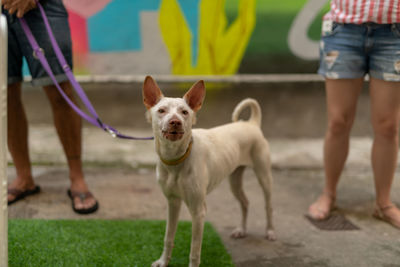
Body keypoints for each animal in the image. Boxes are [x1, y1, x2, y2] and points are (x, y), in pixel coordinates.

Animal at [142, 76, 276, 267]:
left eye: (184, 112)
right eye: (161, 110)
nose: (175, 121)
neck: (176, 160)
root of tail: (251, 123)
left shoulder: (199, 212)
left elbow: (194, 250)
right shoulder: (172, 202)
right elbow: (168, 237)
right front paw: (163, 261)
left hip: (264, 175)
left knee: (268, 205)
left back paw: (270, 231)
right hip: (235, 179)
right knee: (245, 202)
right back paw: (241, 230)